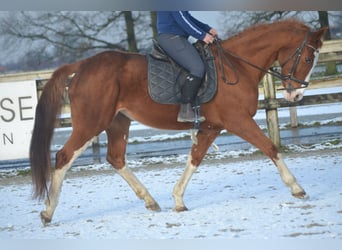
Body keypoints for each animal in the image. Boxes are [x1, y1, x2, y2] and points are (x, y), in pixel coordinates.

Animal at [30, 19, 328, 223]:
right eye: (309, 57)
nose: (296, 93)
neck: (238, 66)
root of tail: (82, 65)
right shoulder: (238, 121)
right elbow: (270, 147)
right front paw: (297, 188)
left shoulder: (211, 127)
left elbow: (195, 159)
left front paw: (178, 199)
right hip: (91, 123)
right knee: (63, 157)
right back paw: (47, 211)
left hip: (118, 122)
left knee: (115, 158)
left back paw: (150, 200)